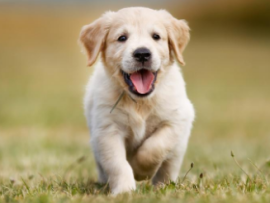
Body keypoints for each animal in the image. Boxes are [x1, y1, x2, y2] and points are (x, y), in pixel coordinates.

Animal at [79, 7, 195, 194]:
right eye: (122, 38)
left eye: (156, 36)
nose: (142, 53)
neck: (141, 102)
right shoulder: (107, 130)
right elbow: (118, 164)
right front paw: (124, 191)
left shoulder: (176, 120)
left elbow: (155, 147)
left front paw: (141, 171)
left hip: (178, 149)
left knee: (168, 167)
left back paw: (163, 186)